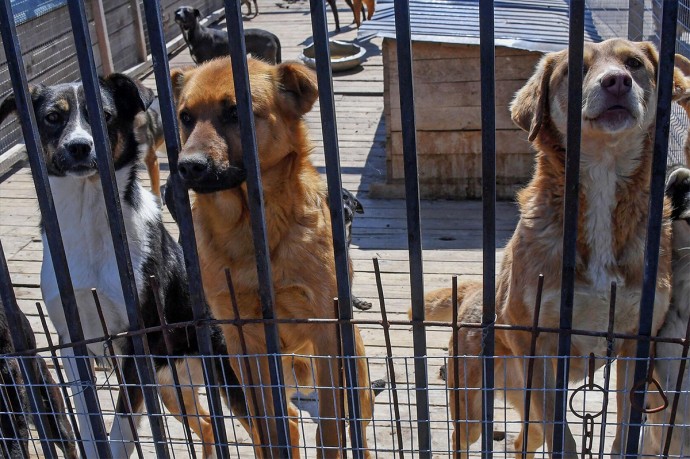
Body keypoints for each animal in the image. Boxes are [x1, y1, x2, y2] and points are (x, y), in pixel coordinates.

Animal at [171, 59, 374, 458]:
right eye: (185, 117)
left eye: (236, 112)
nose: (187, 167)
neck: (248, 231)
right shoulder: (241, 345)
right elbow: (269, 426)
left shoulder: (327, 332)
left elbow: (331, 428)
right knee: (288, 422)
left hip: (354, 373)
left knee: (352, 425)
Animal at [414, 40, 688, 459]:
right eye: (573, 69)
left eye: (634, 63)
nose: (617, 82)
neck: (602, 175)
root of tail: (474, 292)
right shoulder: (537, 344)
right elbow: (565, 436)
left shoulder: (636, 345)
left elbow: (625, 429)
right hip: (474, 410)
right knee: (471, 438)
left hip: (524, 409)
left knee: (521, 440)